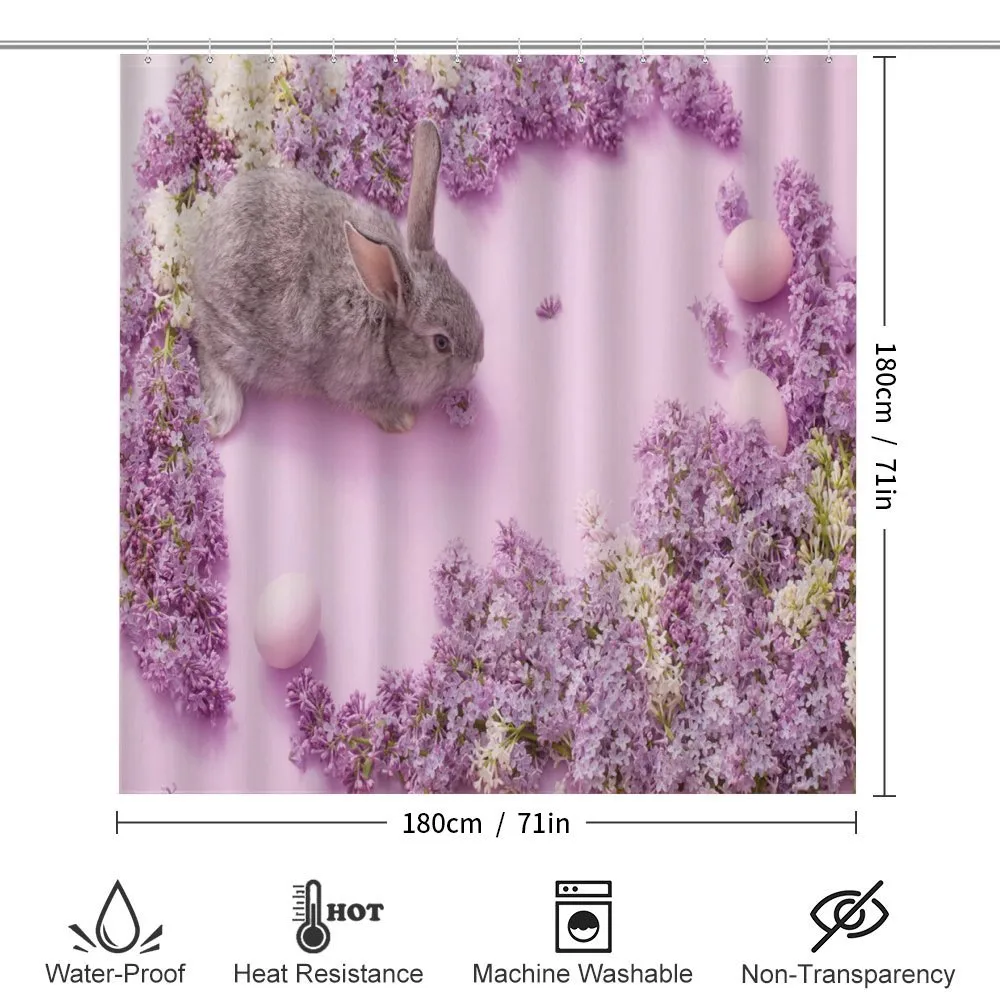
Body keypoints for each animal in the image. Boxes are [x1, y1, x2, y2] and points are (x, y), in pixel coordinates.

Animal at [189, 119, 484, 437]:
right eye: (441, 343)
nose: (478, 361)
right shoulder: (351, 388)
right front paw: (402, 421)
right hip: (233, 341)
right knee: (207, 348)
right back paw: (221, 416)